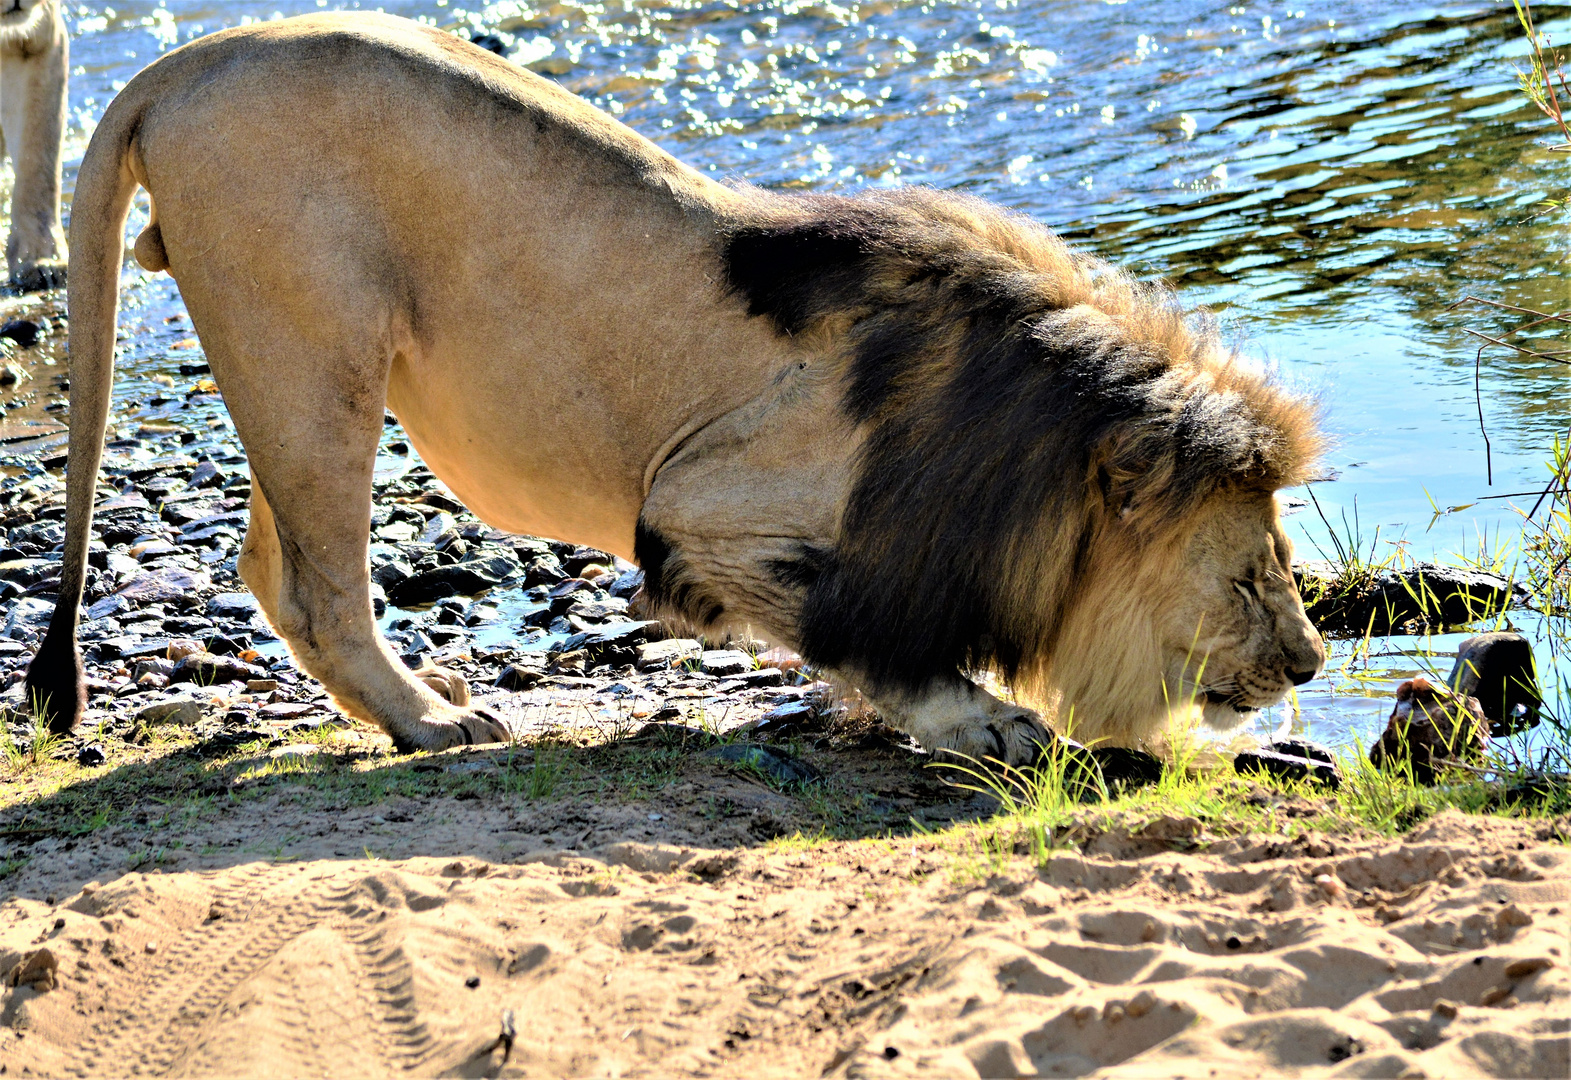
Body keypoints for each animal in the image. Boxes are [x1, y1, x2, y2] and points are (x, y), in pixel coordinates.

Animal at [24, 12, 1325, 764]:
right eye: (1249, 571)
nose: (1312, 663)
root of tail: (186, 61)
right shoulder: (701, 504)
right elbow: (851, 625)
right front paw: (985, 719)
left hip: (303, 361)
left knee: (273, 569)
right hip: (313, 347)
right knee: (324, 585)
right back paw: (430, 721)